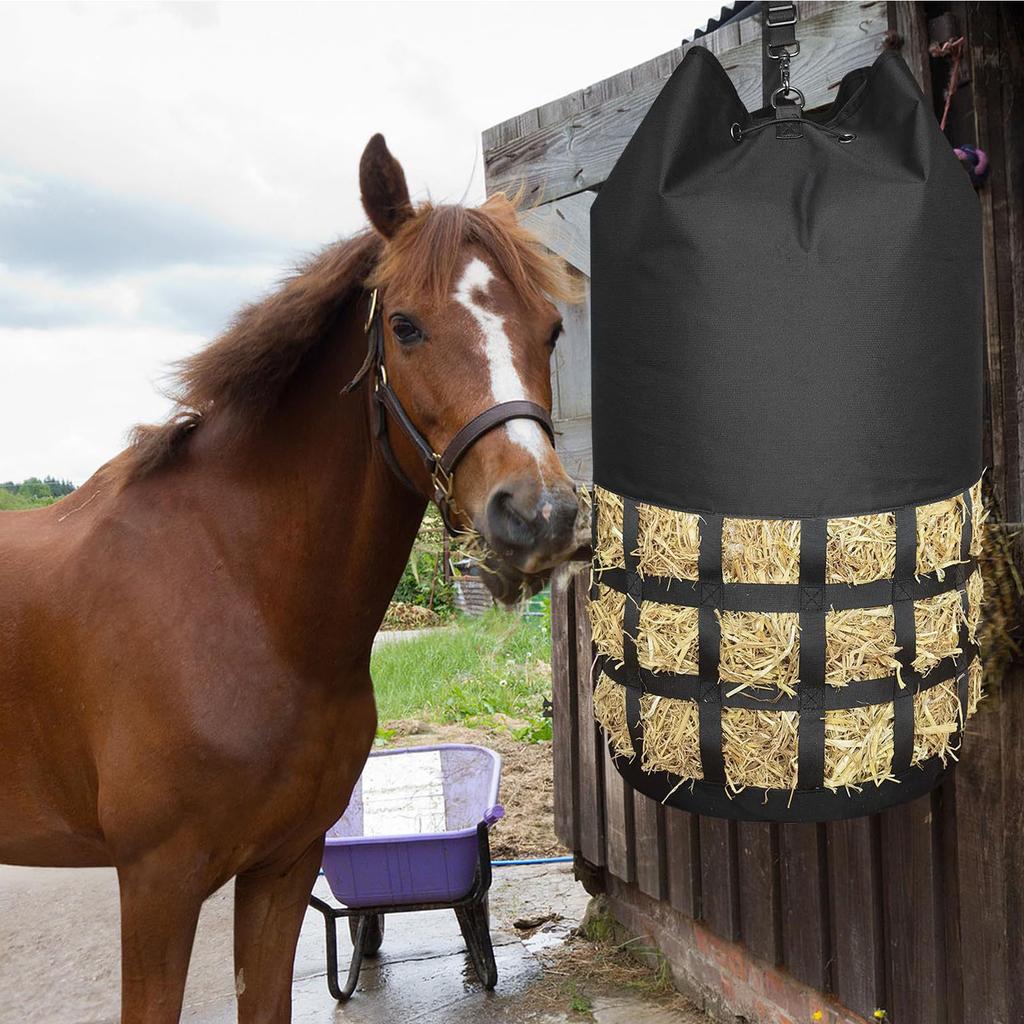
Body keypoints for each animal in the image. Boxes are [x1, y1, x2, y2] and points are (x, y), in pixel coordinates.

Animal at [0, 134, 583, 1023]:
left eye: (550, 331)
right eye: (405, 326)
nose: (539, 516)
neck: (244, 597)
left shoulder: (282, 867)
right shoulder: (157, 884)